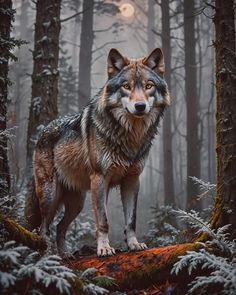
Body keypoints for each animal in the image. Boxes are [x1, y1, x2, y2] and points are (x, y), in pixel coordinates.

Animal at [24, 47, 171, 258]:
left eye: (148, 85)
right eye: (126, 86)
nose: (140, 106)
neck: (130, 135)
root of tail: (43, 130)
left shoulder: (132, 181)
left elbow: (131, 220)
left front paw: (133, 245)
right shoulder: (100, 179)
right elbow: (103, 221)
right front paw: (104, 249)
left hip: (78, 202)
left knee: (59, 227)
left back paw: (65, 255)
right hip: (51, 196)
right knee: (43, 228)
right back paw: (49, 258)